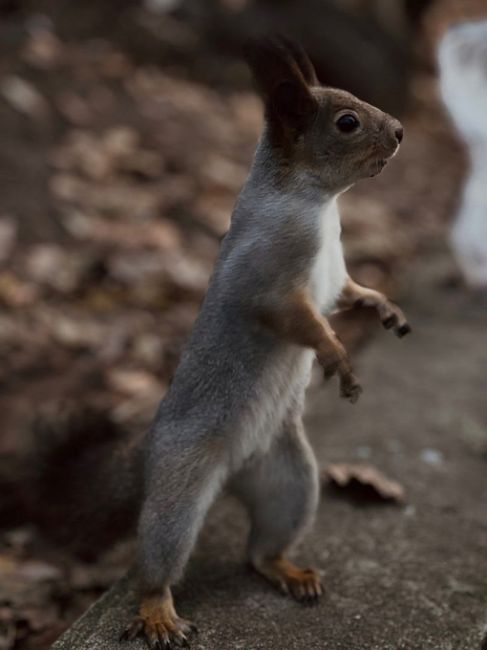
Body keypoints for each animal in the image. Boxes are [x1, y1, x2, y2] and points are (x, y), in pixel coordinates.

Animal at [115, 36, 412, 648]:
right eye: (347, 122)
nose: (399, 130)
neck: (318, 203)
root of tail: (233, 474)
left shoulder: (333, 274)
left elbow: (348, 292)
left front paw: (383, 307)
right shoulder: (269, 273)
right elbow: (295, 319)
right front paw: (338, 357)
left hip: (289, 480)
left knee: (261, 548)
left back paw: (289, 571)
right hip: (180, 487)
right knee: (158, 554)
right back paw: (157, 610)